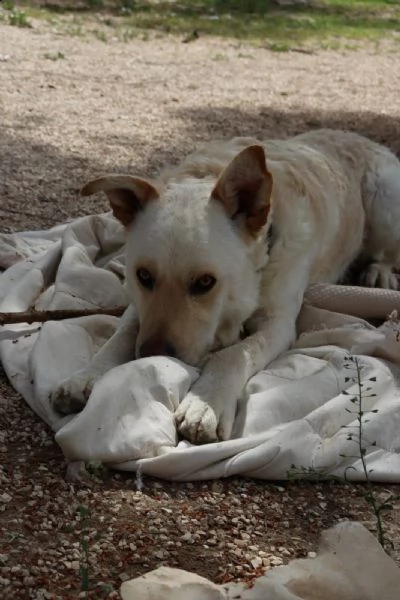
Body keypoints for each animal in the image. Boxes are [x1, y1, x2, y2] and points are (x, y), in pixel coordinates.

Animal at [51, 129, 400, 442]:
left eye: (205, 282)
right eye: (144, 276)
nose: (150, 354)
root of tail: (358, 137)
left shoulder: (279, 324)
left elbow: (234, 354)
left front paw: (205, 404)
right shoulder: (139, 307)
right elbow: (121, 336)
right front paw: (88, 376)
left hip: (384, 202)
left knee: (386, 252)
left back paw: (379, 272)